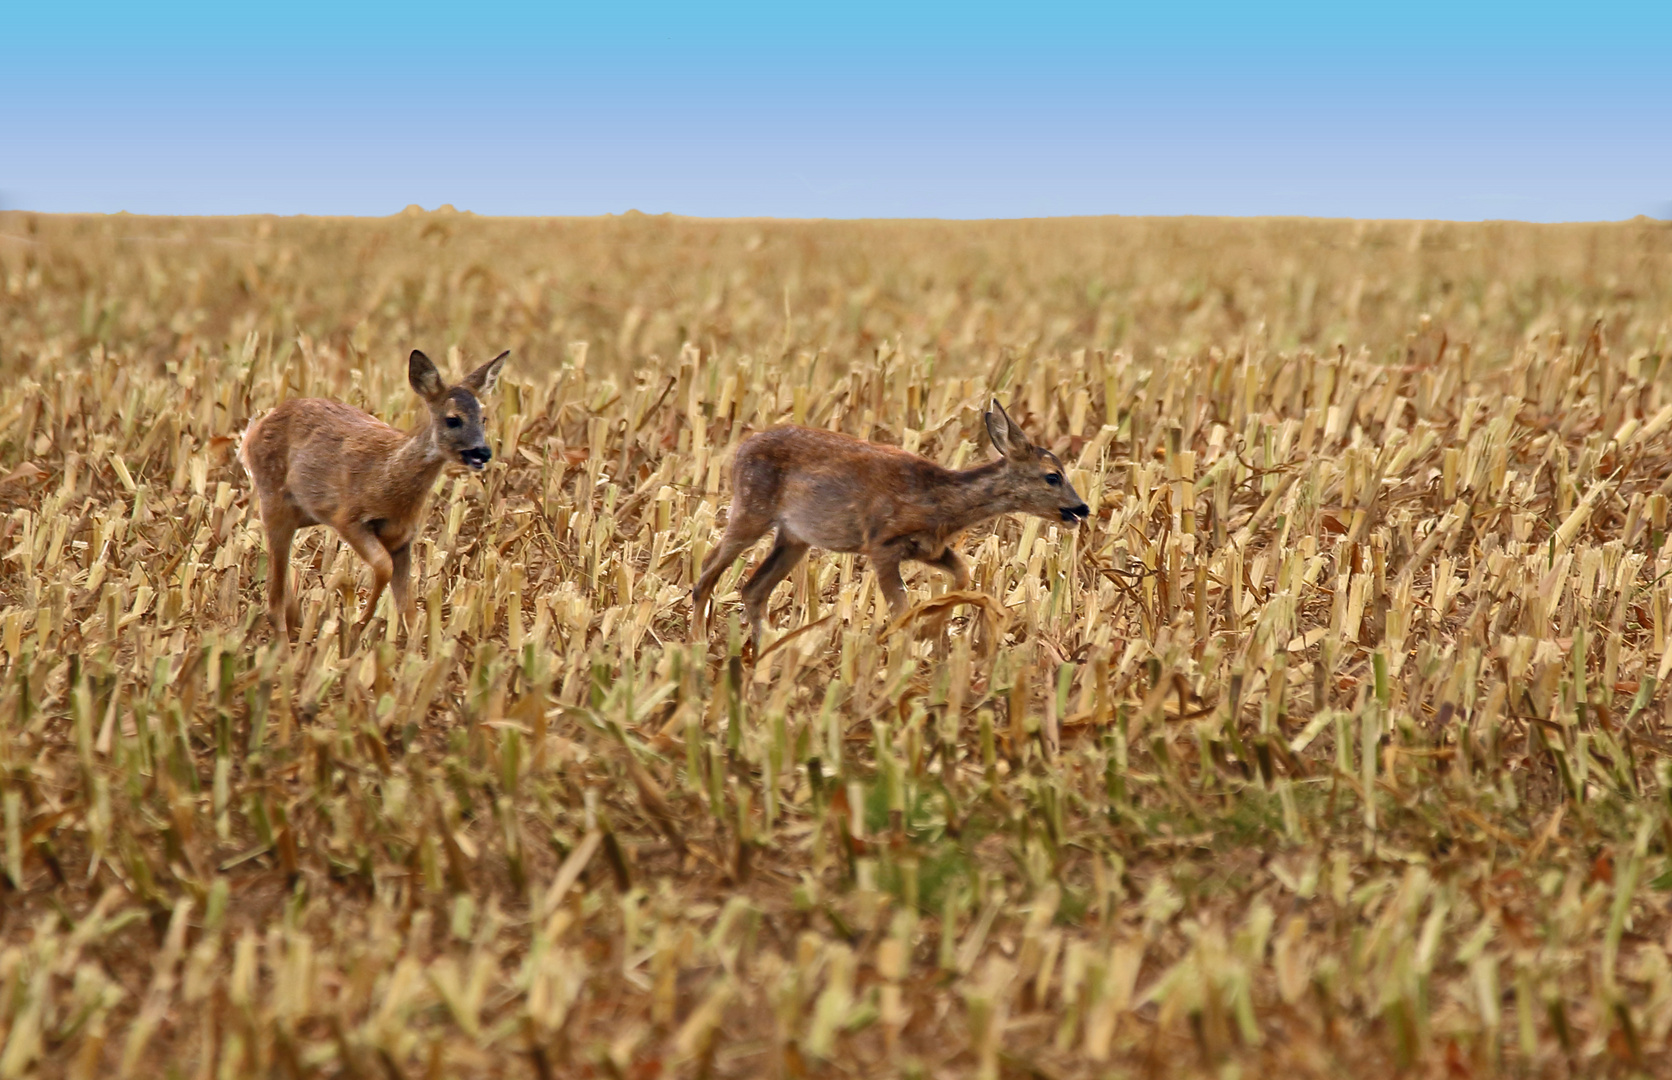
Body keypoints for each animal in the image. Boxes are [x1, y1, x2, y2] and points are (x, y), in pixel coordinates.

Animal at [237, 351, 501, 648]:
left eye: (483, 418)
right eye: (453, 419)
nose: (483, 452)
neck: (388, 479)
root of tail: (250, 434)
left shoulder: (403, 538)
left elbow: (409, 609)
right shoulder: (347, 518)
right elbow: (384, 568)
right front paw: (358, 623)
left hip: (301, 512)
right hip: (273, 498)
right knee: (274, 599)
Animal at [688, 401, 1090, 648]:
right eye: (1053, 476)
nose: (1082, 508)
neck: (940, 501)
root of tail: (738, 450)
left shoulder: (929, 547)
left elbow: (963, 573)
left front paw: (935, 626)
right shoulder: (881, 542)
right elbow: (901, 605)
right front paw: (912, 639)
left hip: (794, 538)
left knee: (753, 589)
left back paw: (765, 650)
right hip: (751, 509)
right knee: (707, 568)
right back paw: (699, 643)